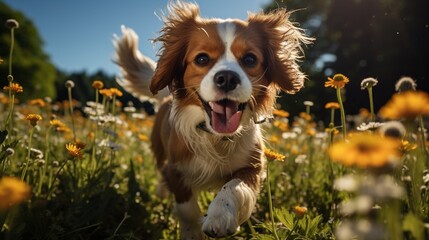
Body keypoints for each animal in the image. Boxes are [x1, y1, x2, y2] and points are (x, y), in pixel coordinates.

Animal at [112, 1, 310, 238]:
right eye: (202, 59)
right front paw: (192, 233)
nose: (227, 78)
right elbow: (187, 210)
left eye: (250, 59)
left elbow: (234, 187)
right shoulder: (176, 171)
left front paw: (219, 215)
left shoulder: (253, 166)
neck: (215, 137)